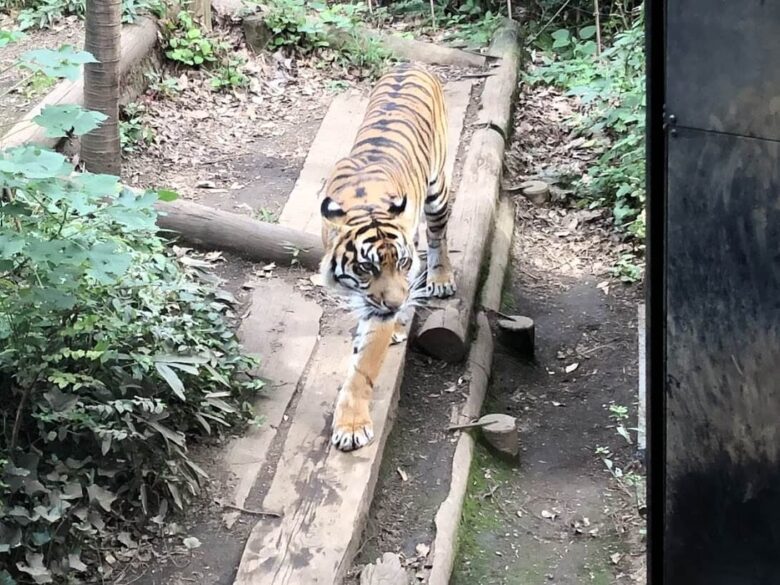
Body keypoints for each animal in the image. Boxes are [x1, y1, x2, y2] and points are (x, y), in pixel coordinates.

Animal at [318, 62, 454, 452]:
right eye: (366, 267)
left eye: (403, 263)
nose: (394, 305)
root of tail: (412, 63)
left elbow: (364, 366)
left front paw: (350, 426)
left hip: (437, 190)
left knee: (437, 236)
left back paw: (439, 279)